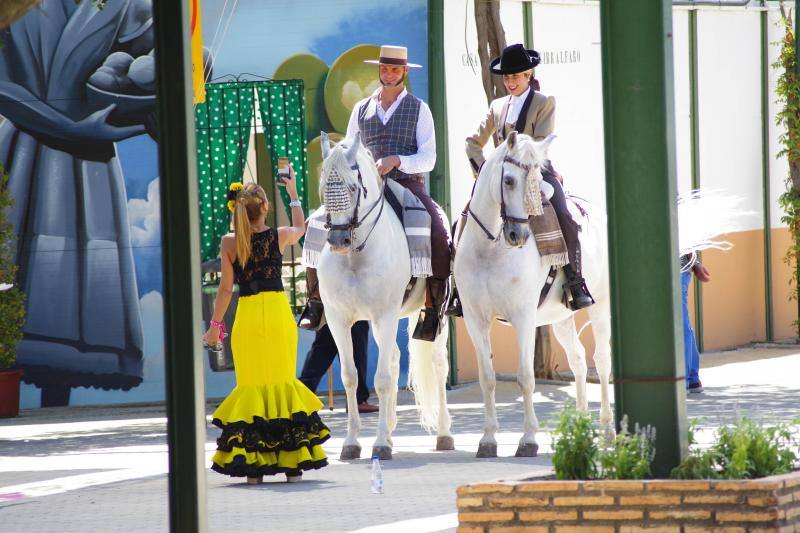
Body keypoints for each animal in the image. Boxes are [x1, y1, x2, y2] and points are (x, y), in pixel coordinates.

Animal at [316, 132, 454, 458]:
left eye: (353, 187)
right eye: (323, 185)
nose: (338, 240)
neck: (355, 255)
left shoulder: (385, 314)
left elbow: (380, 380)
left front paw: (378, 443)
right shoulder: (339, 320)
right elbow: (351, 377)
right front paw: (352, 442)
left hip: (433, 317)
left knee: (438, 364)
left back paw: (443, 434)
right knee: (392, 358)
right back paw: (390, 430)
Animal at [454, 130, 616, 458]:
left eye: (537, 177)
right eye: (508, 181)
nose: (519, 236)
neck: (490, 248)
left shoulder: (524, 319)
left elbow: (525, 378)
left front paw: (528, 439)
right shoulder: (476, 320)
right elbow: (487, 378)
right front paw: (487, 439)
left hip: (600, 305)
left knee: (602, 360)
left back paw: (607, 430)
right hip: (561, 317)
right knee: (578, 359)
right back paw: (581, 426)